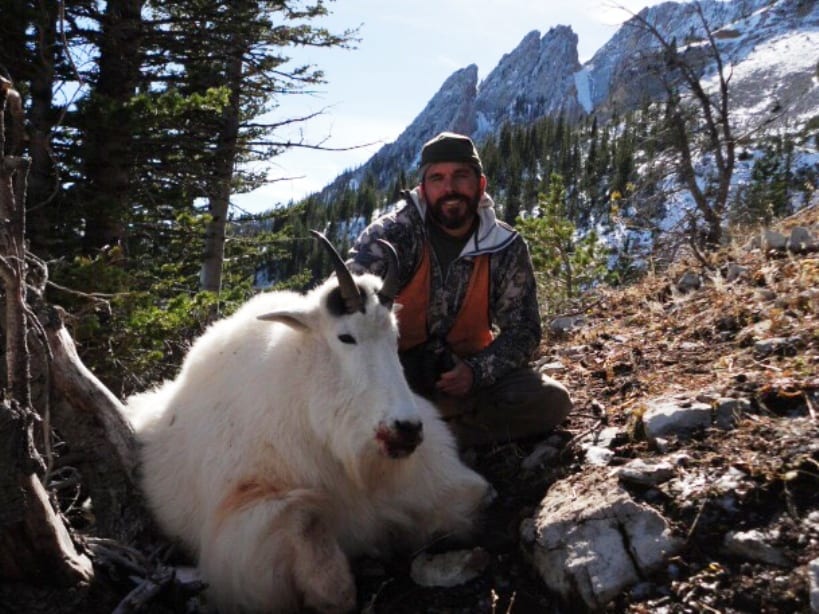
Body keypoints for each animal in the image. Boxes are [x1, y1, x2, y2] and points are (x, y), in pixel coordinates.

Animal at [124, 231, 490, 613]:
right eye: (346, 337)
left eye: (395, 337)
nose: (407, 429)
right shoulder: (242, 514)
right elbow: (307, 523)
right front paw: (331, 591)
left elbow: (475, 500)